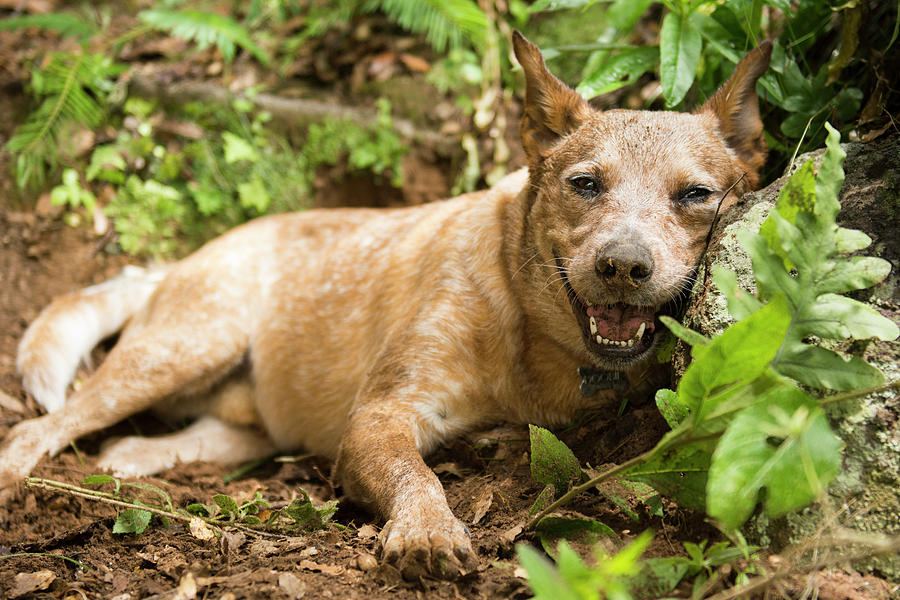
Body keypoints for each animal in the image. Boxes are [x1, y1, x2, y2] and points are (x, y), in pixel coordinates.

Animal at [1, 30, 772, 580]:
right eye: (585, 184)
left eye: (695, 195)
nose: (623, 266)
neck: (539, 342)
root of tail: (179, 260)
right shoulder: (381, 415)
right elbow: (420, 476)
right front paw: (428, 529)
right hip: (184, 347)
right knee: (41, 427)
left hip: (246, 424)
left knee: (169, 439)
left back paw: (127, 460)